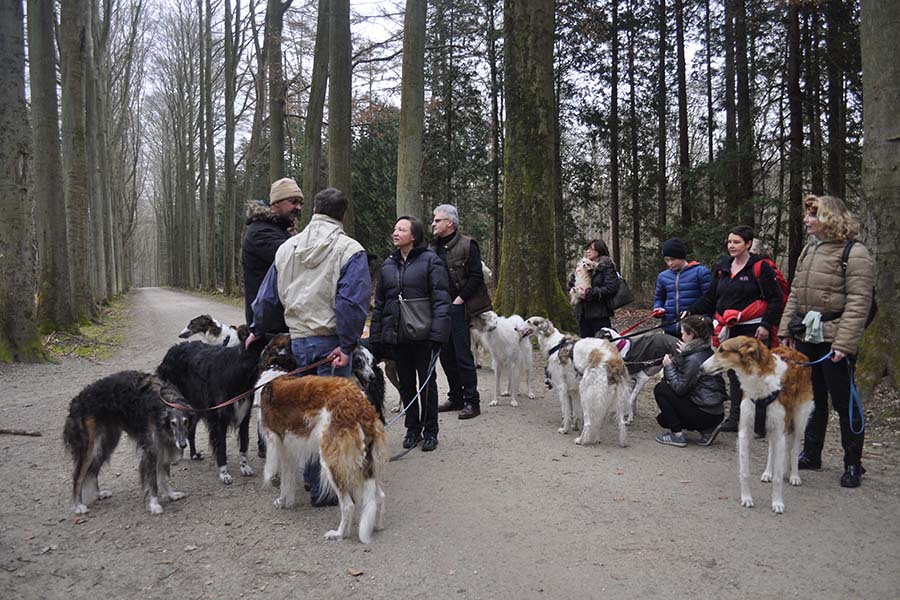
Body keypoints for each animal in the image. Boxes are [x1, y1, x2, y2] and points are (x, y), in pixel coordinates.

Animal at [63, 371, 189, 515]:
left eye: (186, 421)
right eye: (173, 423)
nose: (183, 444)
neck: (165, 402)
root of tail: (75, 402)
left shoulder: (164, 447)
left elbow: (164, 477)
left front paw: (171, 495)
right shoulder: (151, 450)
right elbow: (152, 481)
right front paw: (154, 504)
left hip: (106, 444)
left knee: (92, 471)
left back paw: (98, 494)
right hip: (90, 449)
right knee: (78, 477)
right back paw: (78, 505)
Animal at [156, 334, 286, 484]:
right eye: (271, 346)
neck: (238, 372)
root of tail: (170, 351)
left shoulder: (244, 416)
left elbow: (244, 444)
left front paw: (245, 467)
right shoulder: (219, 420)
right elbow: (222, 448)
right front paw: (224, 473)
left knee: (191, 430)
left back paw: (194, 454)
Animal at [260, 375, 388, 544]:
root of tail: (362, 407)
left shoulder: (276, 442)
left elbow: (280, 479)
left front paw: (282, 500)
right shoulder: (288, 451)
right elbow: (288, 480)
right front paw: (285, 502)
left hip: (332, 462)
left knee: (348, 505)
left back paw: (339, 534)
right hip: (365, 465)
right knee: (379, 496)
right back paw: (377, 526)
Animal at [527, 317, 630, 446]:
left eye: (528, 321)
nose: (516, 328)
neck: (555, 344)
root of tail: (614, 361)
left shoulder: (562, 388)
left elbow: (566, 412)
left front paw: (565, 429)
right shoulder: (574, 390)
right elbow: (575, 412)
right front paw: (574, 425)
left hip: (586, 394)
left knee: (589, 422)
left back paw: (581, 440)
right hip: (614, 398)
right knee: (618, 422)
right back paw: (602, 439)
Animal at [701, 336, 814, 514]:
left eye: (722, 350)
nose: (701, 368)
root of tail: (798, 353)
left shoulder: (780, 432)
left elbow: (778, 478)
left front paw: (777, 502)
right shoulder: (745, 432)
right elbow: (745, 472)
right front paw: (746, 498)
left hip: (799, 419)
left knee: (795, 448)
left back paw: (794, 476)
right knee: (771, 450)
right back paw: (767, 473)